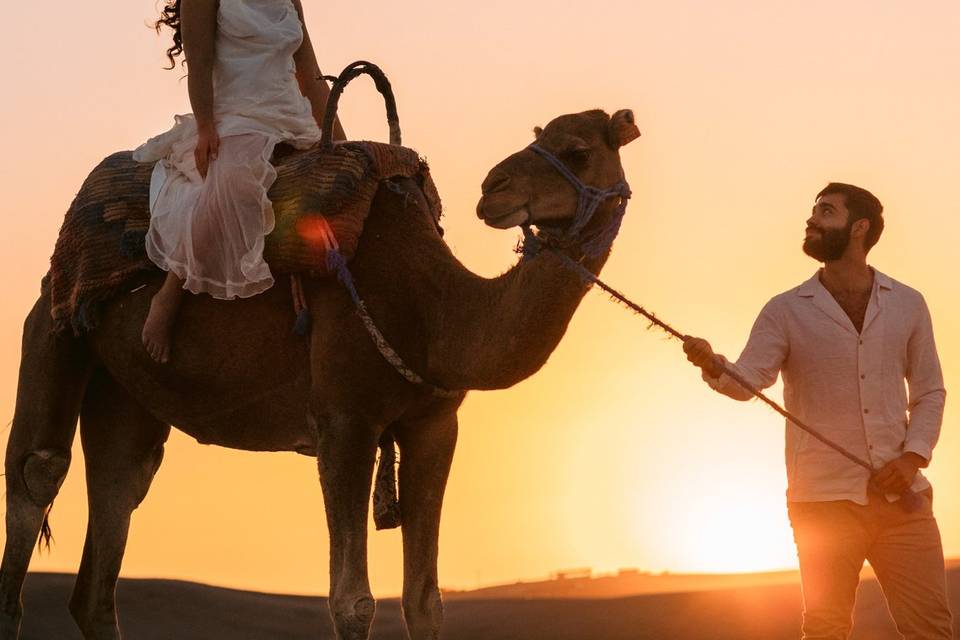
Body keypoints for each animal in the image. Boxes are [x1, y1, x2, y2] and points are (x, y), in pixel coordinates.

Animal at [3, 107, 640, 636]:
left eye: (577, 150)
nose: (493, 188)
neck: (434, 308)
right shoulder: (343, 421)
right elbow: (352, 601)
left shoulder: (435, 425)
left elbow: (425, 601)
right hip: (56, 325)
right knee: (38, 472)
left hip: (122, 392)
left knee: (118, 502)